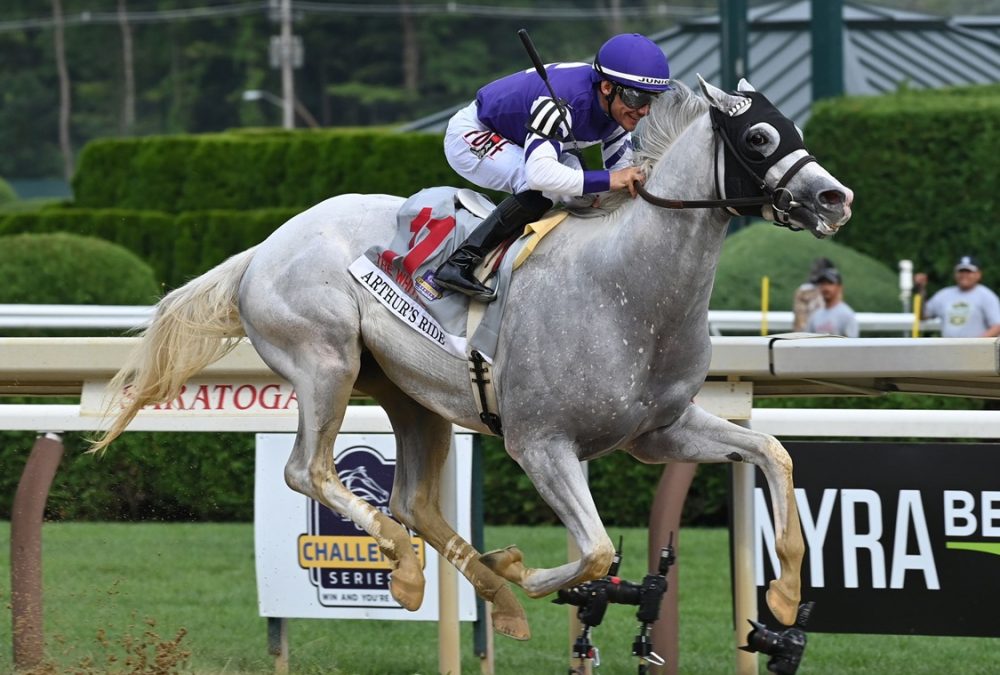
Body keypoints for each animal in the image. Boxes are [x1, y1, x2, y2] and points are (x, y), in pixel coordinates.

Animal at [94, 78, 852, 640]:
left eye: (793, 126)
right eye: (759, 136)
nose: (834, 196)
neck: (626, 286)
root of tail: (265, 246)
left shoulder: (659, 431)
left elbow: (773, 452)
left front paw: (784, 596)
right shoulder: (540, 442)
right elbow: (596, 550)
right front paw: (534, 574)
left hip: (408, 393)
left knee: (411, 499)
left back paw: (489, 592)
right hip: (325, 362)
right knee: (309, 470)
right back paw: (410, 569)